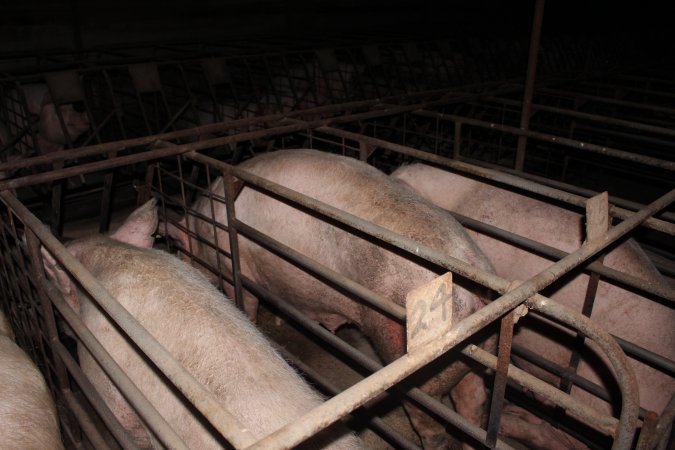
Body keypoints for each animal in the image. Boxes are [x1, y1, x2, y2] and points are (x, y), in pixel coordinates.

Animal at [166, 149, 500, 450]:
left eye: (181, 250)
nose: (183, 261)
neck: (205, 229)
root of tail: (473, 285)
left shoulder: (237, 266)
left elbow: (245, 302)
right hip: (476, 351)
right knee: (474, 402)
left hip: (414, 355)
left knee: (432, 417)